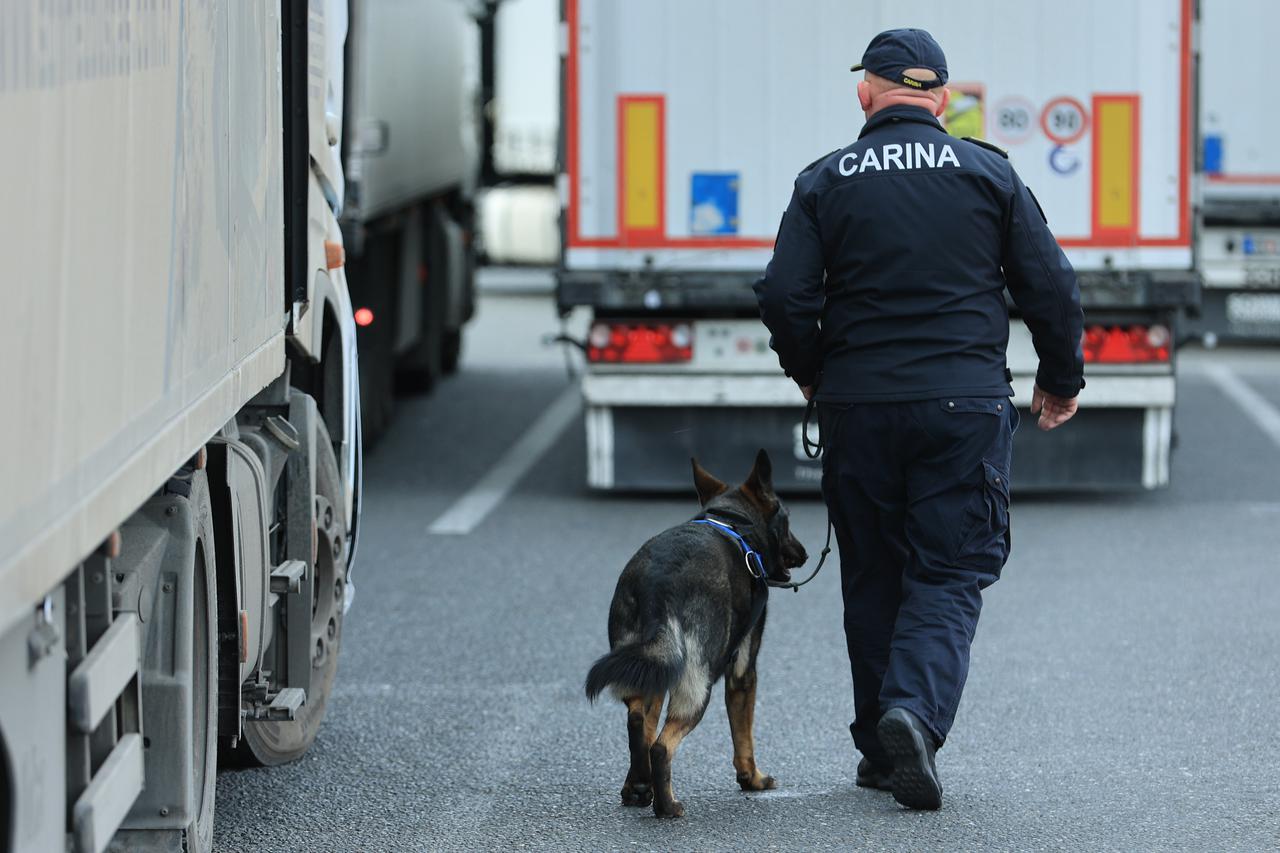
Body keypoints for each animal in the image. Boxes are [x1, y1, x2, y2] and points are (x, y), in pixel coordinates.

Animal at [586, 450, 803, 819]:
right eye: (786, 520)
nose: (803, 553)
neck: (731, 522)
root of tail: (657, 584)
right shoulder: (743, 670)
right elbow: (744, 733)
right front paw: (753, 779)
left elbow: (646, 722)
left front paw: (637, 786)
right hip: (697, 685)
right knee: (662, 746)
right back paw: (667, 806)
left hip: (648, 666)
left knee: (637, 721)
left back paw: (640, 786)